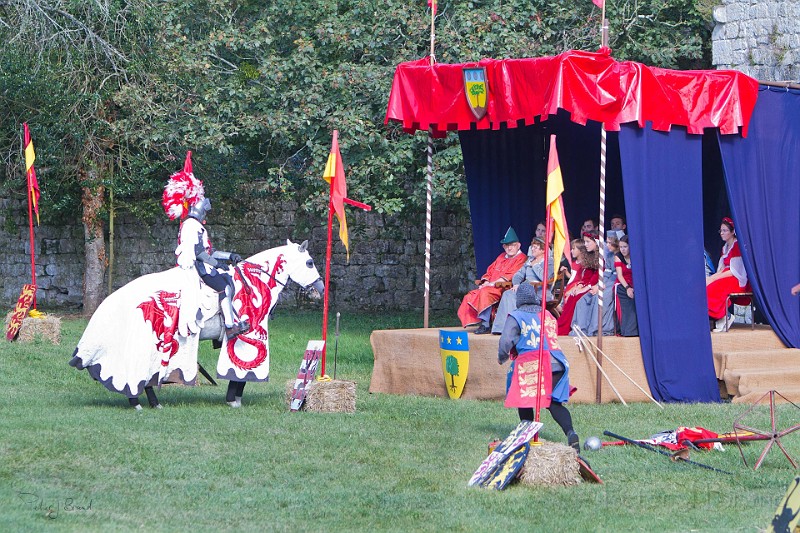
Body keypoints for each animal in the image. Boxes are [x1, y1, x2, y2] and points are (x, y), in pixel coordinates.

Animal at [69, 239, 324, 410]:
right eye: (310, 262)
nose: (320, 290)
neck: (252, 284)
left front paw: (234, 398)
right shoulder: (246, 337)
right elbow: (240, 373)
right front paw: (234, 399)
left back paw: (151, 403)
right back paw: (138, 402)